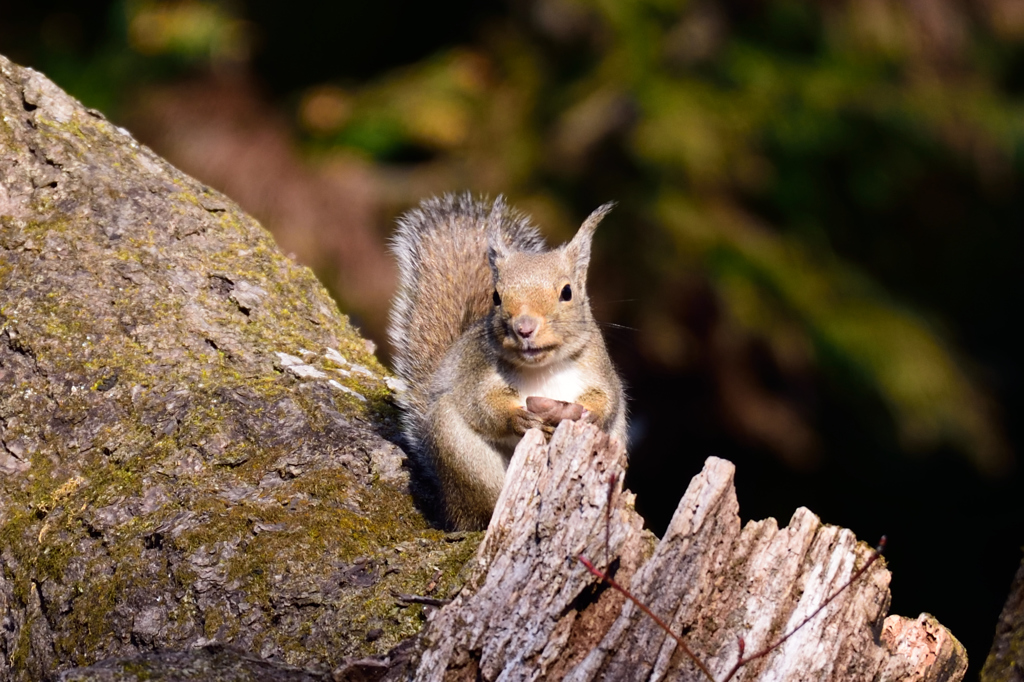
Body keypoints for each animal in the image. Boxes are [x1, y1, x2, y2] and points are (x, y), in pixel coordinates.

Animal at [389, 193, 622, 528]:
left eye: (567, 292)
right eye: (496, 296)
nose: (524, 327)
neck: (542, 367)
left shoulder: (599, 370)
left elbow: (607, 401)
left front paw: (584, 415)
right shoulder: (477, 374)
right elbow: (482, 404)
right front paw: (518, 419)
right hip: (467, 461)